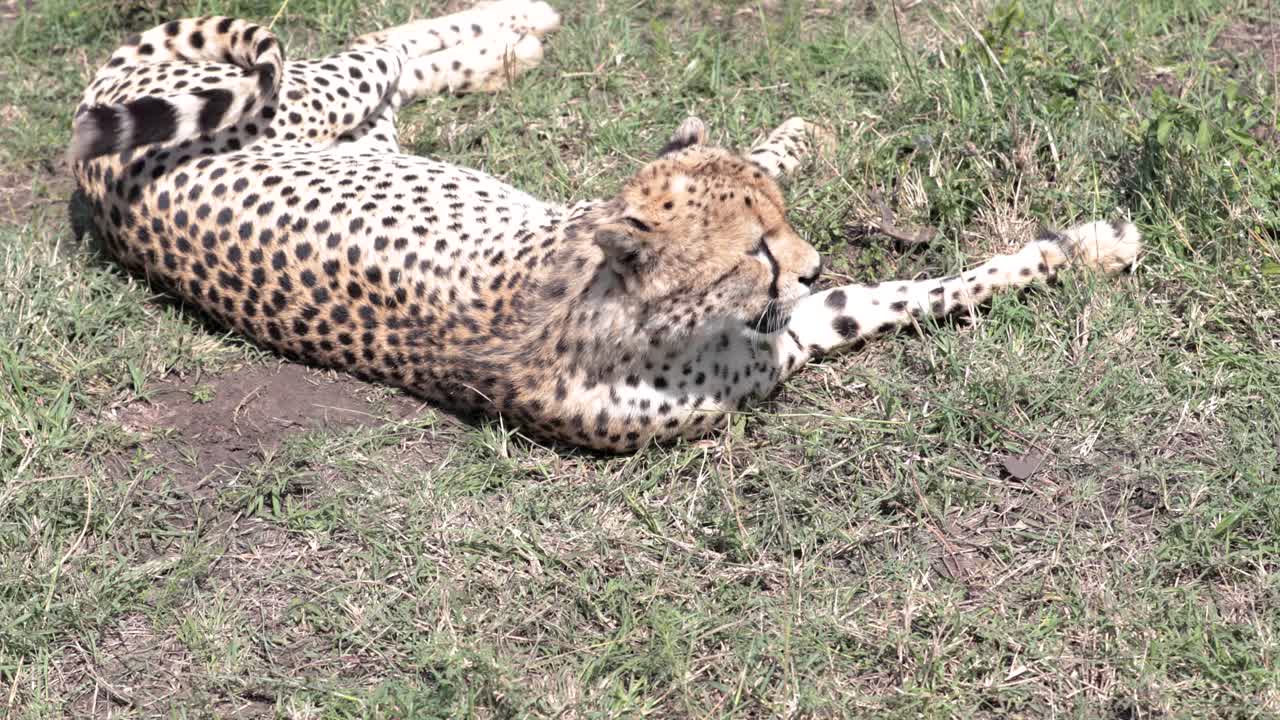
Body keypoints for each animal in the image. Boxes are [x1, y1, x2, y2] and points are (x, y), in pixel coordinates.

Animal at [69, 0, 1142, 453]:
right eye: (755, 251)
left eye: (781, 228)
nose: (809, 259)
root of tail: (97, 170)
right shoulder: (786, 339)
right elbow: (920, 293)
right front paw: (1081, 251)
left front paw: (1074, 248)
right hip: (299, 102)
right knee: (367, 46)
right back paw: (517, 26)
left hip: (362, 130)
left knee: (394, 60)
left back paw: (514, 33)